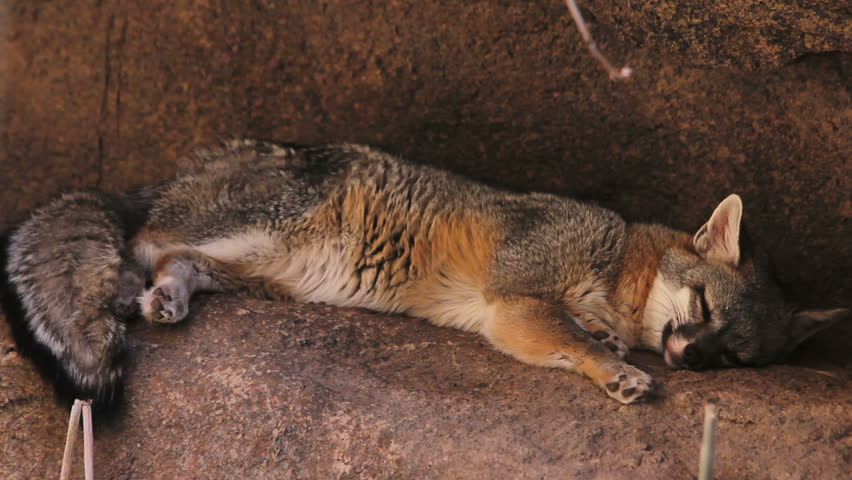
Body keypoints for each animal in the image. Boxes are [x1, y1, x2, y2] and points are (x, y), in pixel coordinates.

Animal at [2, 139, 848, 404]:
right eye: (701, 307)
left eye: (734, 356)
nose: (692, 360)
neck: (616, 262)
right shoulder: (513, 298)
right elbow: (577, 340)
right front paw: (615, 368)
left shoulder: (524, 310)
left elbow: (578, 332)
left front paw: (611, 348)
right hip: (262, 227)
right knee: (143, 238)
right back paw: (130, 283)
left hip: (265, 269)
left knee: (177, 259)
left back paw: (170, 298)